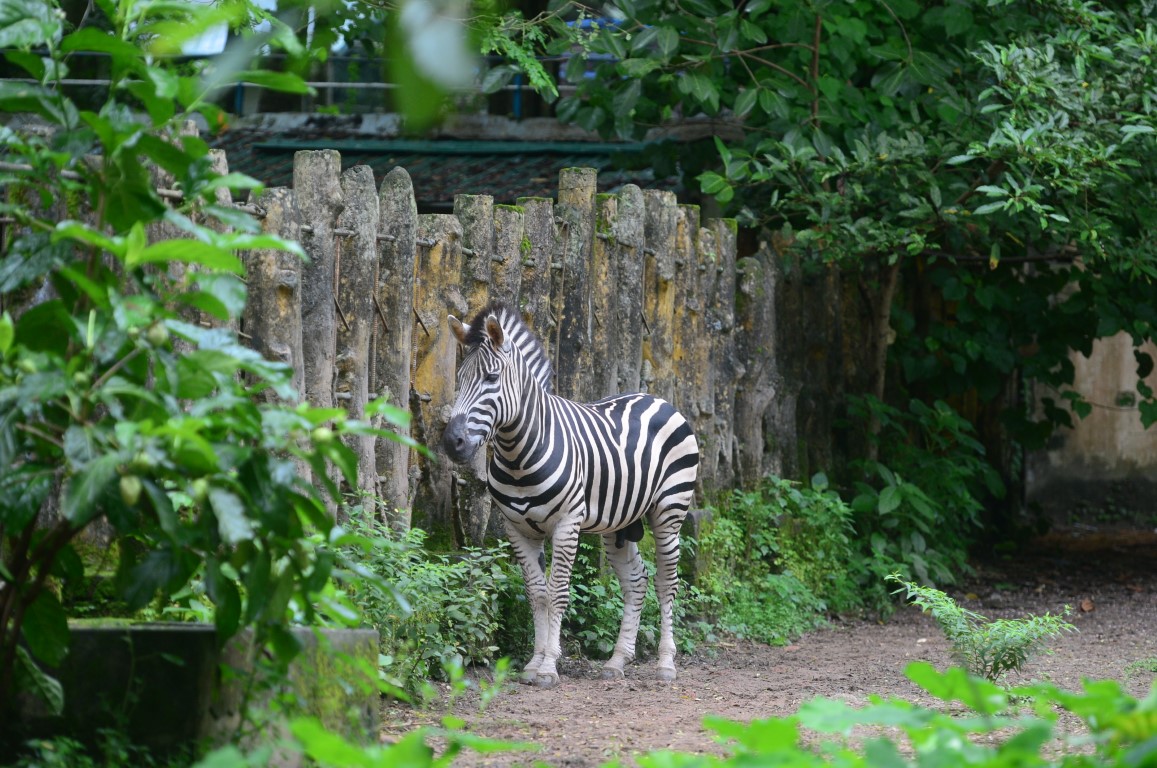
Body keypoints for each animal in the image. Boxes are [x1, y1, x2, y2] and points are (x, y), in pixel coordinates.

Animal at [441, 300, 699, 687]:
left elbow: (559, 592)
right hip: (619, 524)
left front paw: (549, 666)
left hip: (669, 512)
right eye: (459, 380)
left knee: (667, 581)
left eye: (491, 379)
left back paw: (666, 663)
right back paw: (617, 661)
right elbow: (537, 594)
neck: (519, 453)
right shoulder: (518, 528)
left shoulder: (567, 524)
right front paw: (534, 663)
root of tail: (656, 398)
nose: (452, 443)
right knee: (636, 580)